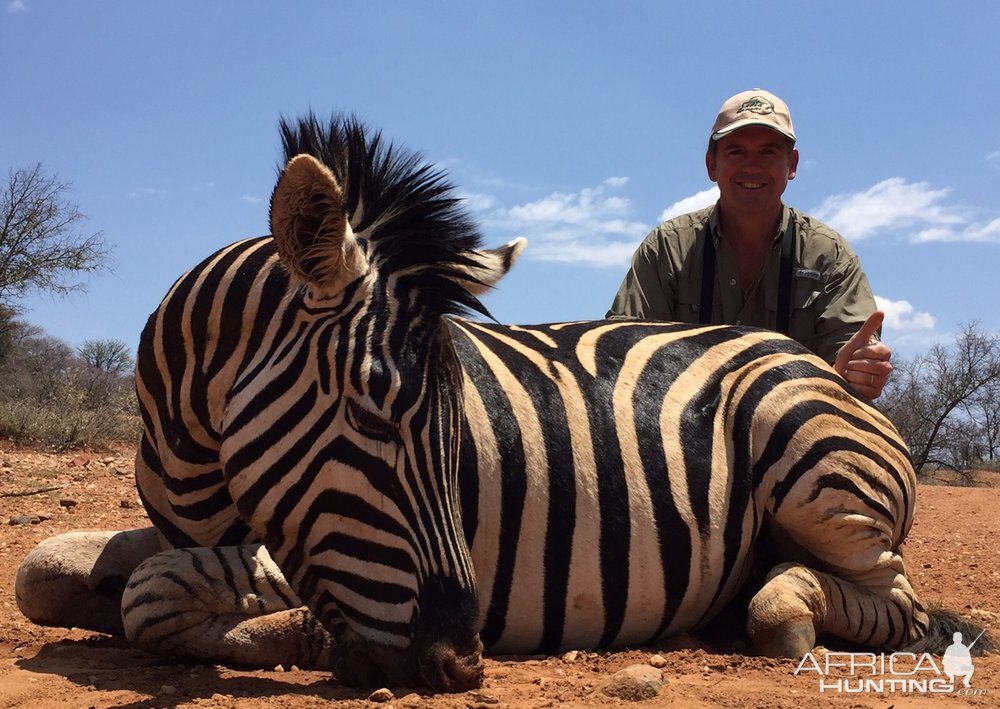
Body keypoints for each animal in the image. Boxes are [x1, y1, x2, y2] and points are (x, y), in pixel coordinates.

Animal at [11, 113, 976, 688]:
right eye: (373, 405)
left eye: (459, 431)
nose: (462, 659)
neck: (196, 454)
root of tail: (809, 358)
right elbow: (44, 572)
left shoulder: (295, 544)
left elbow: (150, 597)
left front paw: (291, 634)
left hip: (816, 471)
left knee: (890, 602)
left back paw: (781, 607)